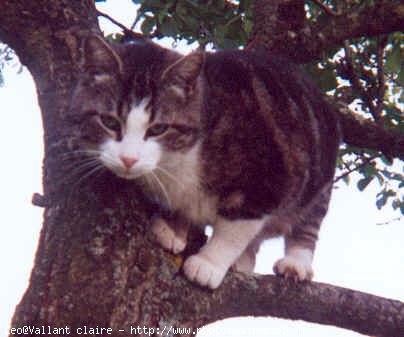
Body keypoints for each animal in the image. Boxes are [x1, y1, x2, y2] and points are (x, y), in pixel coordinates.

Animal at [69, 34, 340, 288]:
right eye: (109, 122)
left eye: (158, 129)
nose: (128, 159)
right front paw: (172, 228)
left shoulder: (267, 178)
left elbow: (236, 228)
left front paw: (208, 263)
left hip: (320, 174)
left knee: (308, 220)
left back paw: (295, 262)